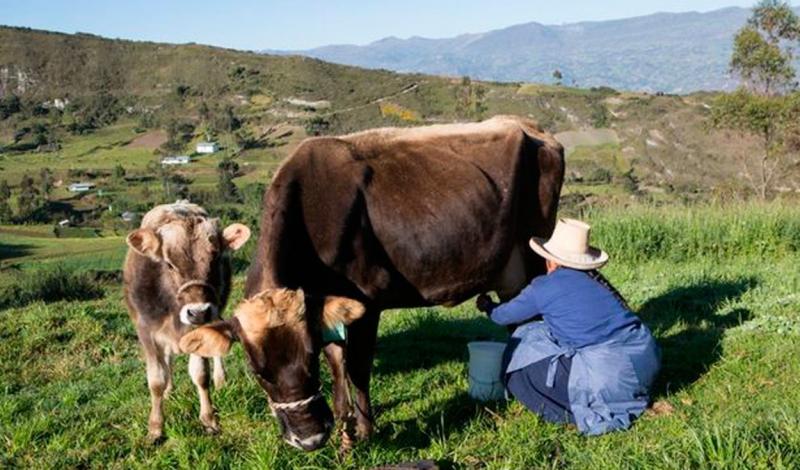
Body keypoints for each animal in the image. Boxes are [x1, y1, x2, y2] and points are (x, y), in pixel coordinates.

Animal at [180, 115, 564, 450]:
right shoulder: (325, 307)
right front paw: (343, 425)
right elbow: (337, 362)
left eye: (307, 358)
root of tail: (529, 126)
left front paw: (364, 430)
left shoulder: (368, 301)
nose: (309, 439)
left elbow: (357, 366)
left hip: (534, 253)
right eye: (257, 371)